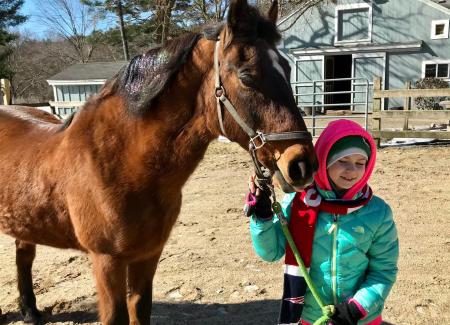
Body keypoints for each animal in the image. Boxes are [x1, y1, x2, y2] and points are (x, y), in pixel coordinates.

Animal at [0, 0, 316, 322]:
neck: (121, 166)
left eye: (287, 69)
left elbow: (140, 310)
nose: (302, 165)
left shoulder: (148, 255)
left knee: (23, 254)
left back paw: (30, 310)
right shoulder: (107, 261)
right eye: (247, 76)